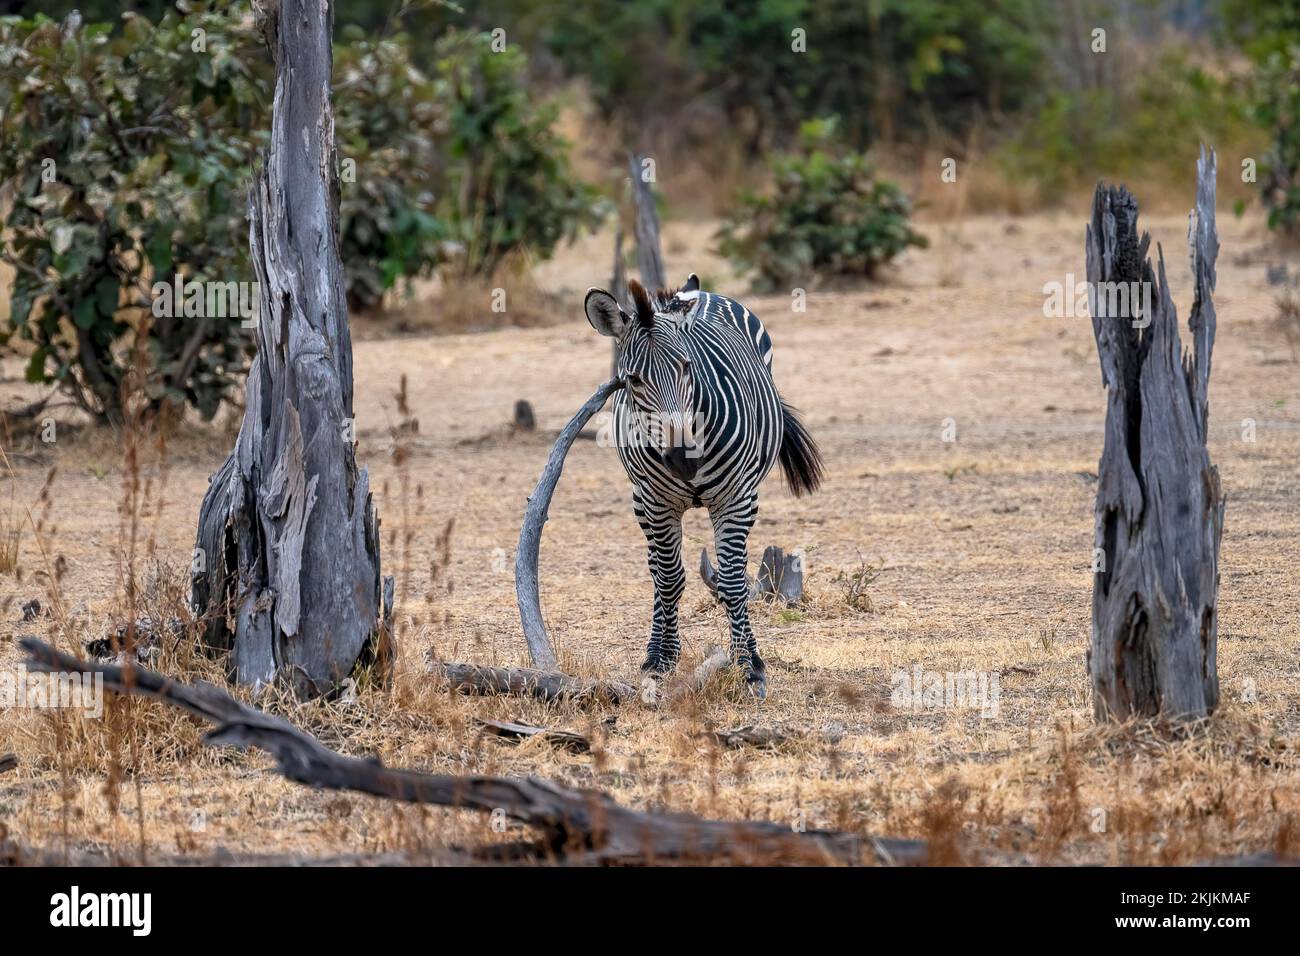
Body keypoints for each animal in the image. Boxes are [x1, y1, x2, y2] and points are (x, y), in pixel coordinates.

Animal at [585, 273, 823, 697]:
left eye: (686, 367)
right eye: (633, 381)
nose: (682, 457)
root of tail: (700, 294)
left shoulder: (734, 499)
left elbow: (733, 582)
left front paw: (750, 665)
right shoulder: (657, 503)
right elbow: (668, 580)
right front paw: (661, 660)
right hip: (641, 501)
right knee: (657, 570)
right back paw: (657, 648)